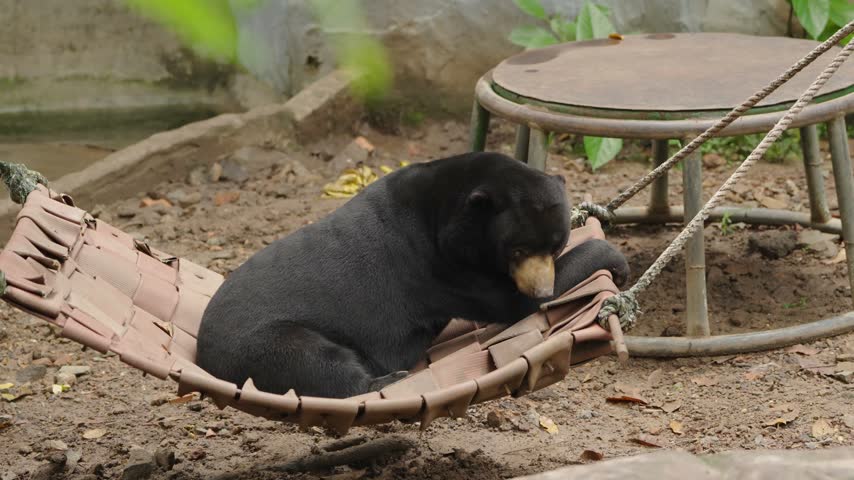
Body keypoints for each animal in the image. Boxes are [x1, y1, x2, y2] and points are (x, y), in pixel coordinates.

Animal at [196, 151, 629, 399]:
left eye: (554, 247)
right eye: (517, 250)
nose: (542, 289)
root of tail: (203, 352)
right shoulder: (440, 267)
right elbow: (508, 303)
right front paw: (615, 262)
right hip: (264, 342)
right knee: (315, 362)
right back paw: (386, 382)